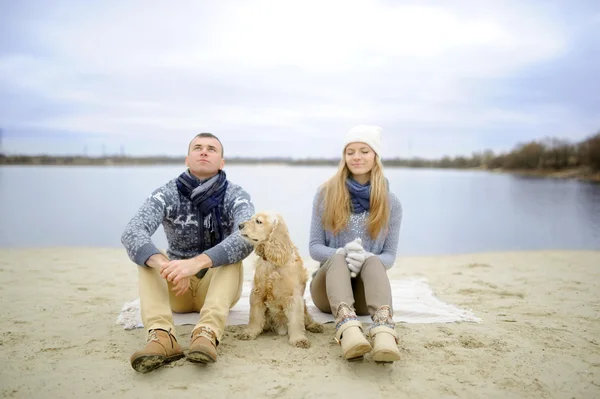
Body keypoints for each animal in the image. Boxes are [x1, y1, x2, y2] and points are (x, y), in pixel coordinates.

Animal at [238, 212, 324, 346]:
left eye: (258, 221)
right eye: (251, 218)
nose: (239, 225)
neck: (273, 263)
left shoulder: (293, 296)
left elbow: (296, 320)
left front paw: (298, 339)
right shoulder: (258, 293)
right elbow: (255, 317)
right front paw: (249, 332)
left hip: (304, 305)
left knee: (307, 318)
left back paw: (315, 325)